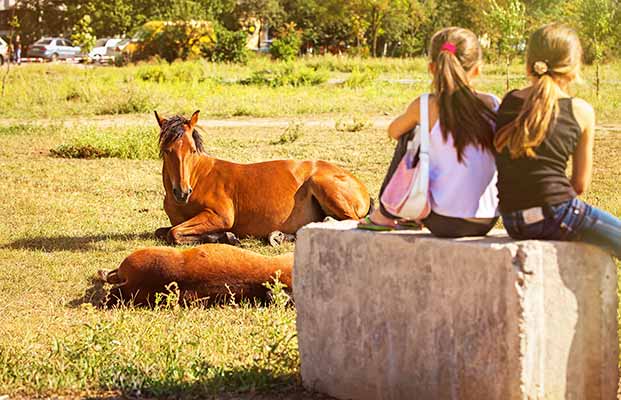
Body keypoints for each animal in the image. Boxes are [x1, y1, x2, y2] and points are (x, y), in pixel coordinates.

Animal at [153, 111, 370, 245]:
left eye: (192, 150)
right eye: (167, 150)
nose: (182, 192)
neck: (199, 178)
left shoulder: (220, 216)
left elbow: (174, 233)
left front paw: (225, 237)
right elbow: (164, 231)